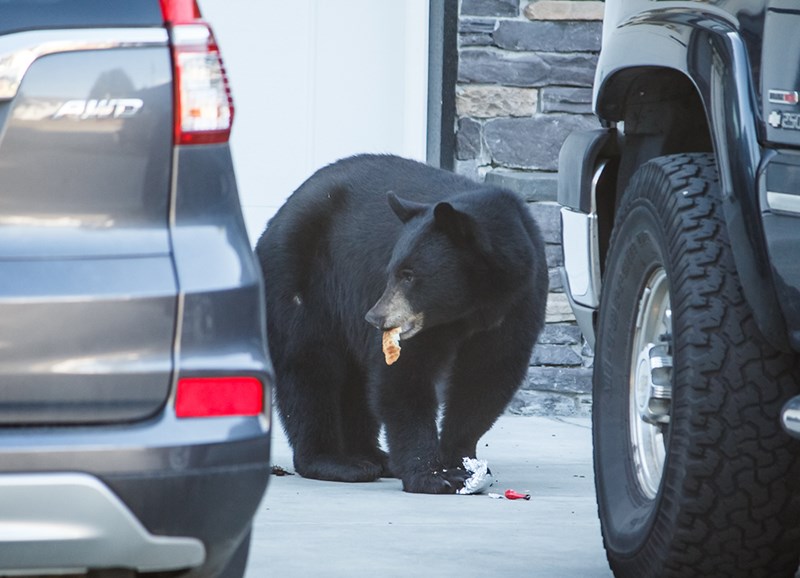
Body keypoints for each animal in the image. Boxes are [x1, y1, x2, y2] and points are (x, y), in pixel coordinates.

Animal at [256, 155, 552, 492]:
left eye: (409, 275)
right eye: (393, 271)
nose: (375, 317)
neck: (471, 308)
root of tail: (275, 220)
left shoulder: (519, 304)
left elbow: (486, 377)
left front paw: (461, 460)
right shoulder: (421, 326)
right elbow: (404, 377)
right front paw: (433, 474)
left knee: (355, 381)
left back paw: (373, 456)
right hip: (301, 277)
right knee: (310, 366)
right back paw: (336, 461)